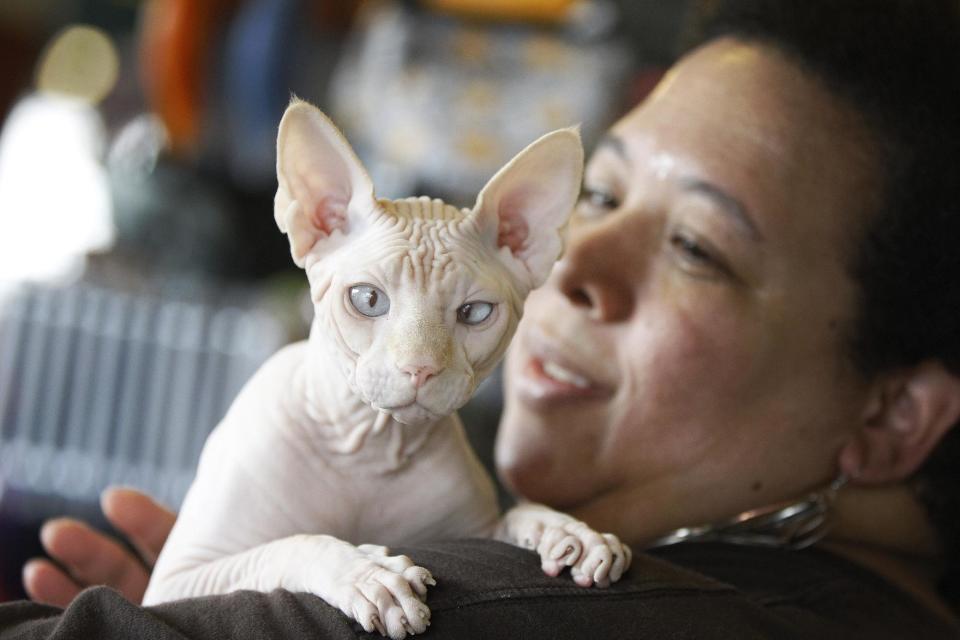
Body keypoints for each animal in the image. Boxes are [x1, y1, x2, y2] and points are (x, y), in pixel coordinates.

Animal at [142, 100, 632, 636]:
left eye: (475, 312)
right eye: (368, 299)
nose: (419, 369)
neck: (371, 448)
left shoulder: (476, 529)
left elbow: (517, 515)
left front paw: (567, 530)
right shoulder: (177, 578)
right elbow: (291, 544)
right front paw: (366, 573)